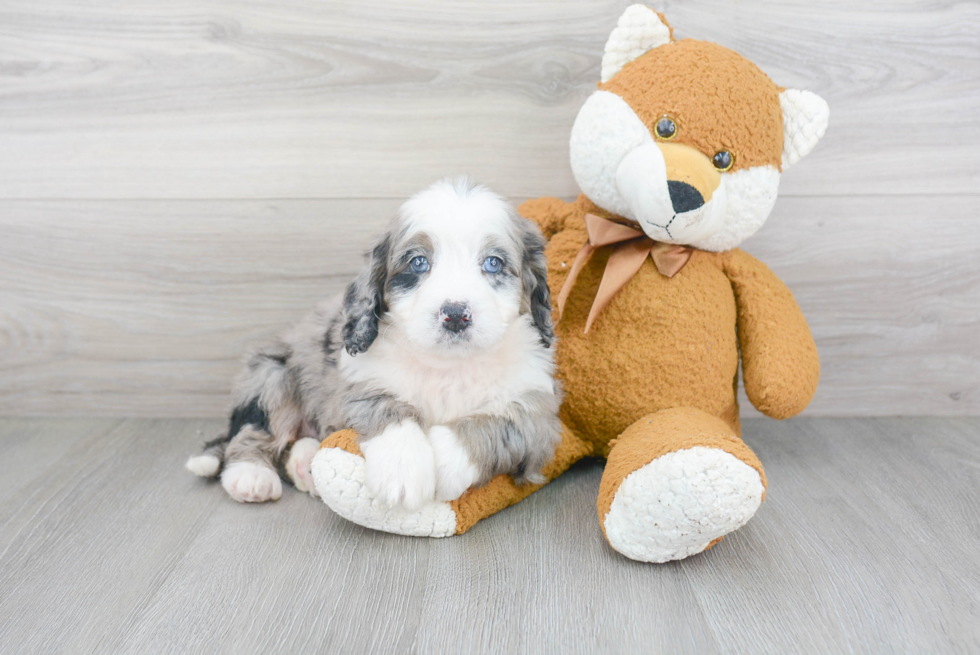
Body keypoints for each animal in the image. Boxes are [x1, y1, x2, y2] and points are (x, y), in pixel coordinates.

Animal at [188, 177, 564, 510]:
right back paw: (251, 476)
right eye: (418, 262)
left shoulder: (537, 413)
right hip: (272, 374)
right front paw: (403, 472)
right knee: (253, 431)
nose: (456, 314)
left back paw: (304, 465)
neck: (448, 366)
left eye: (493, 263)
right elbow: (388, 408)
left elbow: (495, 425)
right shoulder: (356, 382)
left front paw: (443, 465)